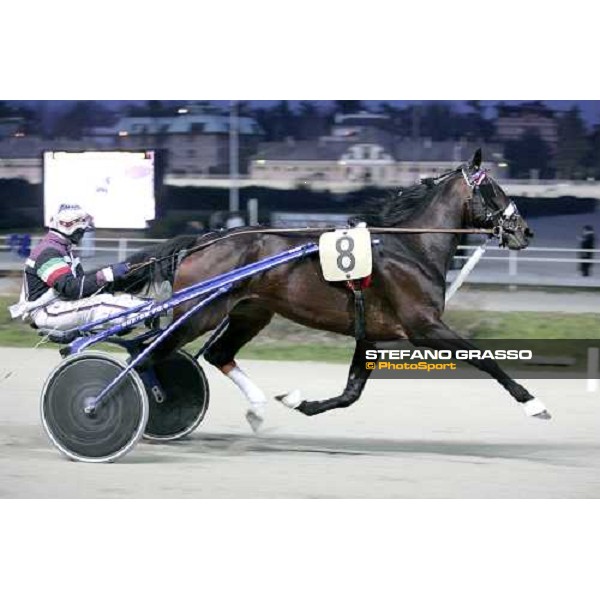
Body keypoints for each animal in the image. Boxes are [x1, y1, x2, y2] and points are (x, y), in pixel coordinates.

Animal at [119, 150, 548, 432]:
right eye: (494, 190)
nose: (525, 231)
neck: (410, 247)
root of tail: (203, 240)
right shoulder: (424, 327)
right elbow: (485, 359)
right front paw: (534, 404)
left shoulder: (371, 334)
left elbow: (351, 392)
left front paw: (299, 402)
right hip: (200, 312)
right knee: (147, 353)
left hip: (250, 312)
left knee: (215, 353)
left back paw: (256, 409)